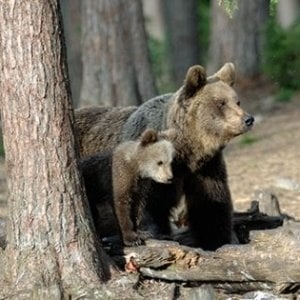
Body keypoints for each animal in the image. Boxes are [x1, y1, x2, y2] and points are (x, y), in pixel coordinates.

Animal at [74, 63, 253, 251]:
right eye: (221, 102)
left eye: (237, 101)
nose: (248, 119)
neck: (187, 151)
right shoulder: (149, 171)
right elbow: (147, 206)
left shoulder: (206, 168)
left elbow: (211, 204)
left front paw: (216, 240)